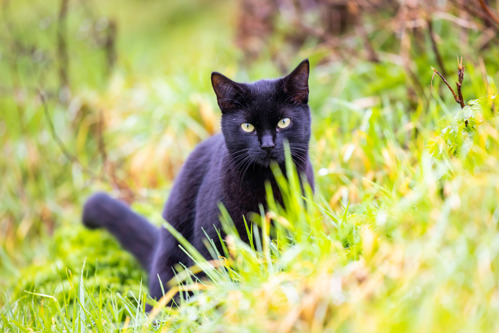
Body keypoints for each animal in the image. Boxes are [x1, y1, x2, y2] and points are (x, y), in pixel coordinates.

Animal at [83, 59, 314, 304]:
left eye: (284, 122)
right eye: (247, 126)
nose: (268, 145)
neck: (267, 184)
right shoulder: (211, 238)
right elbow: (211, 276)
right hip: (170, 264)